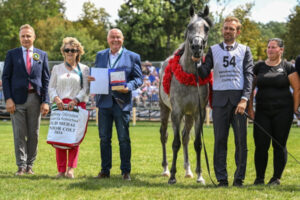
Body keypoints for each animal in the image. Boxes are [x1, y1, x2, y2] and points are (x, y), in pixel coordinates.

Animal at [159, 5, 213, 184]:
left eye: (206, 28)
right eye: (189, 27)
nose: (197, 47)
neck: (190, 74)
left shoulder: (198, 113)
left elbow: (197, 143)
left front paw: (200, 175)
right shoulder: (176, 112)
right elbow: (174, 143)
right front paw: (172, 176)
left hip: (189, 116)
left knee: (185, 137)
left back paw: (188, 170)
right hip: (164, 110)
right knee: (164, 136)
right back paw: (166, 170)